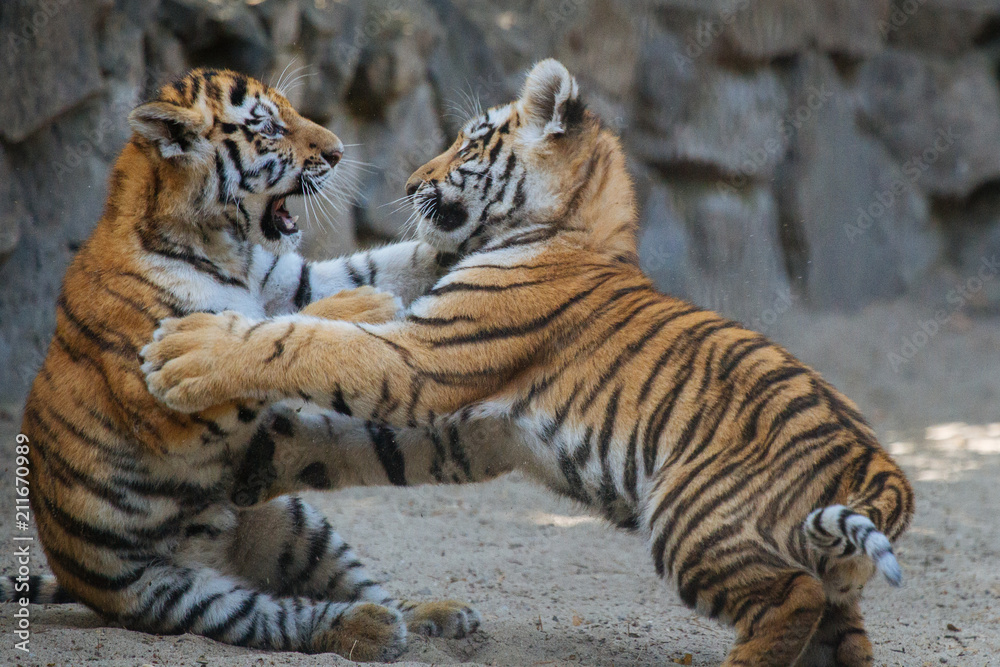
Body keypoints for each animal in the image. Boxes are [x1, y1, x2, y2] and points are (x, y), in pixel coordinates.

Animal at [3, 67, 485, 661]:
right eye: (270, 128)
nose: (339, 151)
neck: (224, 247)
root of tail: (217, 551)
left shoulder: (292, 278)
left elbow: (384, 263)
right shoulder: (159, 406)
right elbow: (262, 335)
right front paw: (363, 306)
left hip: (293, 522)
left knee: (359, 586)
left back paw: (434, 614)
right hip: (173, 593)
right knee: (280, 616)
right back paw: (367, 628)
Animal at [140, 59, 916, 666]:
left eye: (470, 142)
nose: (412, 181)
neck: (572, 230)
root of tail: (883, 469)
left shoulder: (424, 358)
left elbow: (303, 341)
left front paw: (185, 351)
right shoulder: (480, 427)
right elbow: (354, 442)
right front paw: (254, 462)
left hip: (694, 519)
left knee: (791, 597)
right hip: (829, 578)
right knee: (841, 630)